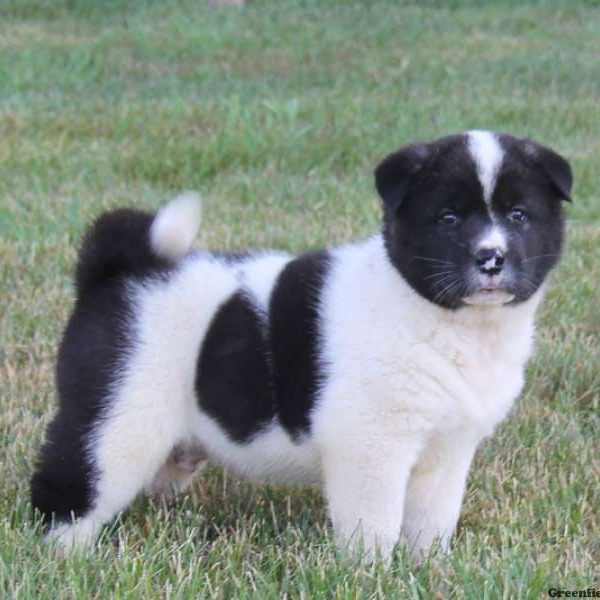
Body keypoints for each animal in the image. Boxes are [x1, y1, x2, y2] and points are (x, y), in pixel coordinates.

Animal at [31, 130, 572, 564]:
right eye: (449, 218)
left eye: (519, 216)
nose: (491, 257)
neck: (449, 321)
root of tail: (115, 271)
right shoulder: (371, 445)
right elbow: (374, 524)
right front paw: (372, 574)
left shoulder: (448, 450)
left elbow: (431, 521)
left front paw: (428, 569)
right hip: (120, 417)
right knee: (75, 479)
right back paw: (63, 554)